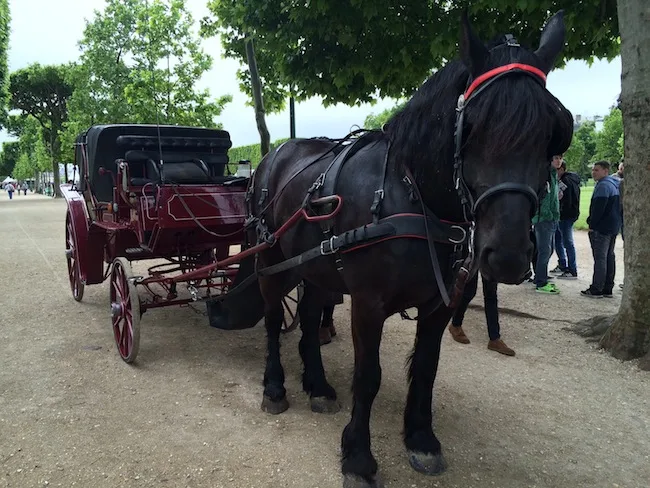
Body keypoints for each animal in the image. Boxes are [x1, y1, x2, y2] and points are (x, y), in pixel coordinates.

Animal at [246, 8, 568, 488]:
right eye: (472, 126)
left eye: (552, 132)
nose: (508, 255)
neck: (411, 192)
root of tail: (273, 156)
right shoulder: (367, 303)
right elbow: (368, 376)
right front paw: (359, 458)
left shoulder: (440, 304)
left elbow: (427, 368)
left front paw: (421, 439)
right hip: (272, 260)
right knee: (271, 320)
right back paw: (274, 386)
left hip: (318, 269)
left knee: (308, 318)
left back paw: (318, 386)